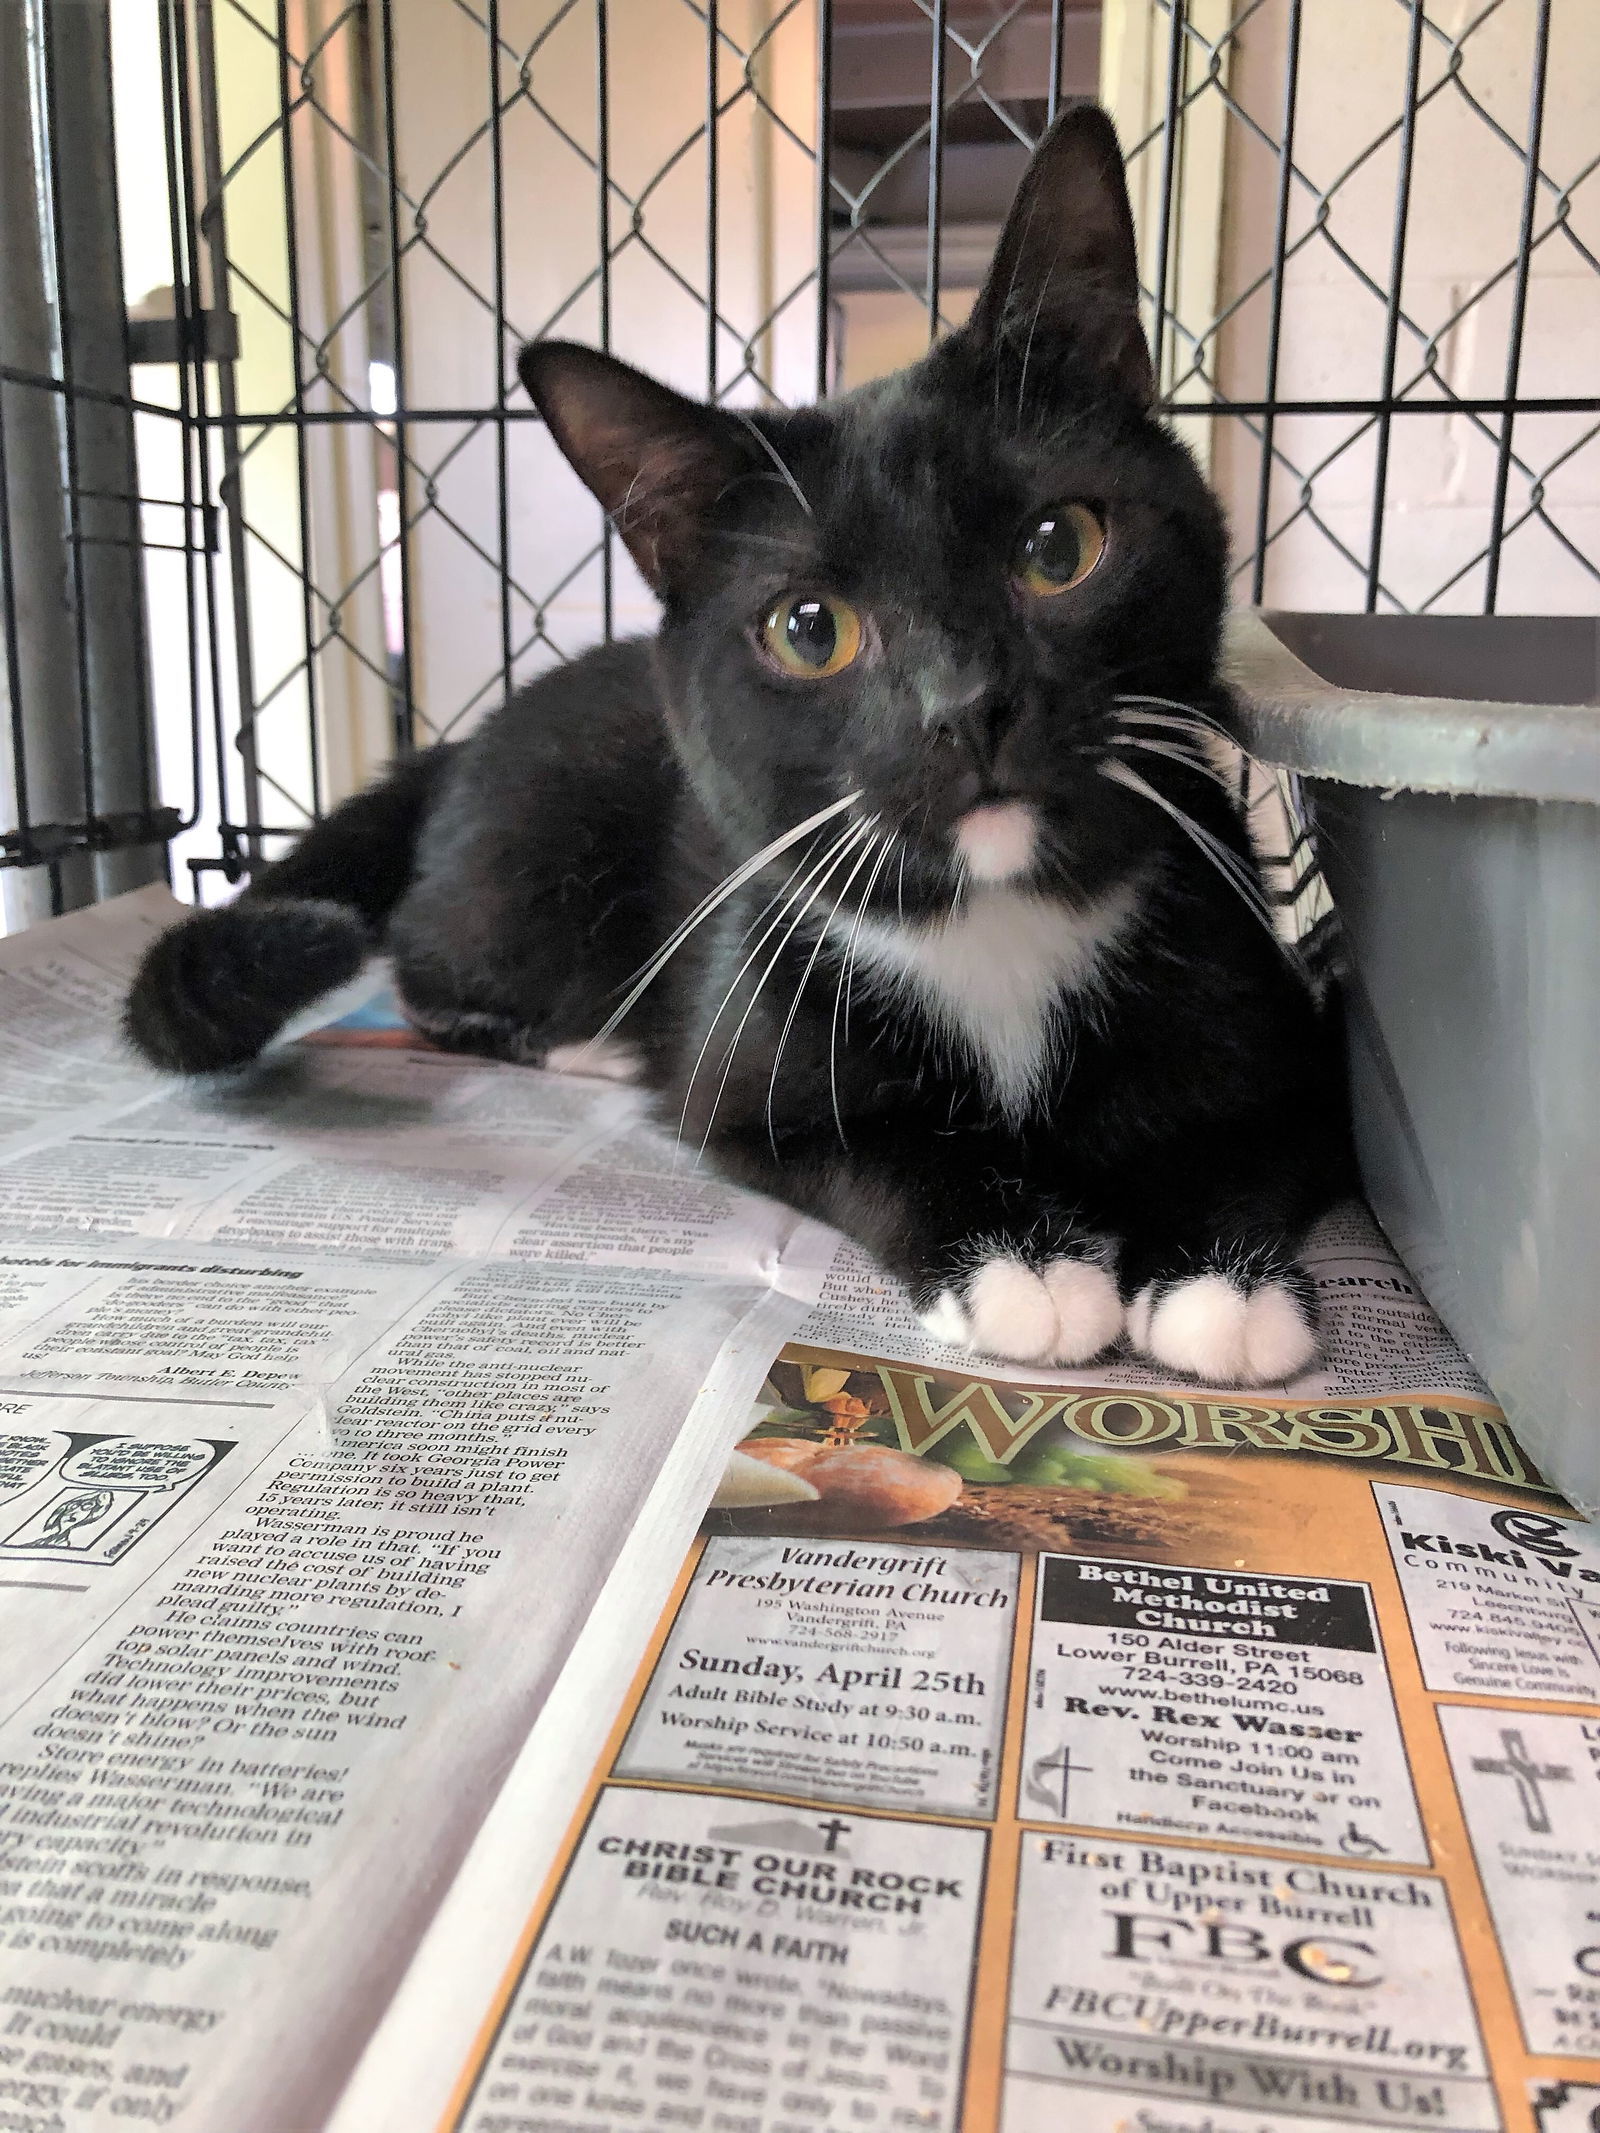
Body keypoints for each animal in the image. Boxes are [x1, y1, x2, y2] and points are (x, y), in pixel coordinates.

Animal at [128, 103, 1356, 1382]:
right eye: (808, 629)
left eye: (1058, 547)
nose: (963, 704)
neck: (999, 912)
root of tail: (458, 743)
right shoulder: (751, 1063)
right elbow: (864, 1147)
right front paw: (1024, 1266)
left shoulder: (1281, 1026)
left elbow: (1261, 1139)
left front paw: (1219, 1283)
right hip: (520, 875)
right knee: (422, 965)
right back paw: (588, 1046)